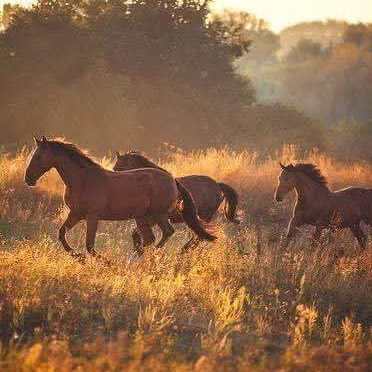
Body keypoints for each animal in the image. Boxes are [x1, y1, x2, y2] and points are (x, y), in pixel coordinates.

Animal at [24, 137, 217, 258]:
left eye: (38, 156)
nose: (28, 179)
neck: (83, 179)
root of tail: (172, 179)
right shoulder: (76, 214)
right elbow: (62, 234)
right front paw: (78, 257)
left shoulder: (92, 217)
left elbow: (90, 245)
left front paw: (107, 263)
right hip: (143, 217)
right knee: (149, 239)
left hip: (158, 215)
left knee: (167, 232)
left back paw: (152, 254)